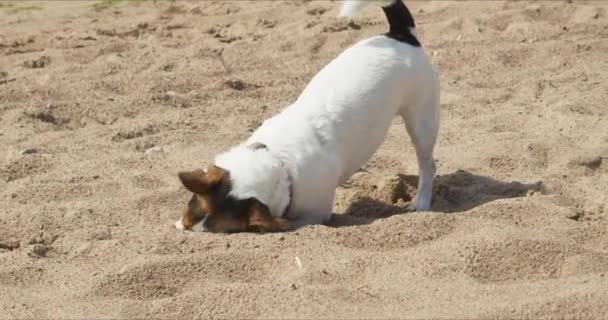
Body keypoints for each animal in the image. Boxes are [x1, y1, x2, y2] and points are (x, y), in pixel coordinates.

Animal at [175, 0, 436, 234]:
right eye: (188, 216)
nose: (185, 228)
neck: (277, 161)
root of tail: (401, 35)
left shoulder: (315, 215)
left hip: (422, 121)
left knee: (427, 164)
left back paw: (421, 201)